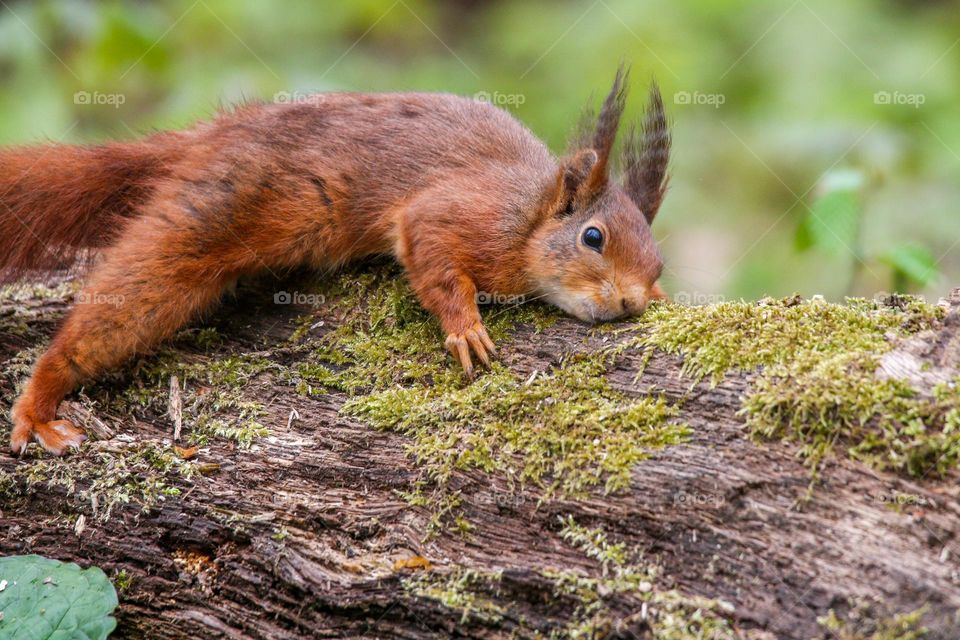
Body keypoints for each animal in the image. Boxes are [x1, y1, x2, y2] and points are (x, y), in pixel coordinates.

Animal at [0, 67, 668, 456]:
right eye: (592, 238)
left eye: (659, 266)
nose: (631, 301)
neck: (530, 213)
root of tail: (214, 136)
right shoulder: (462, 215)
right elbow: (428, 248)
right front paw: (465, 327)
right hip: (215, 212)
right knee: (130, 294)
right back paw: (42, 396)